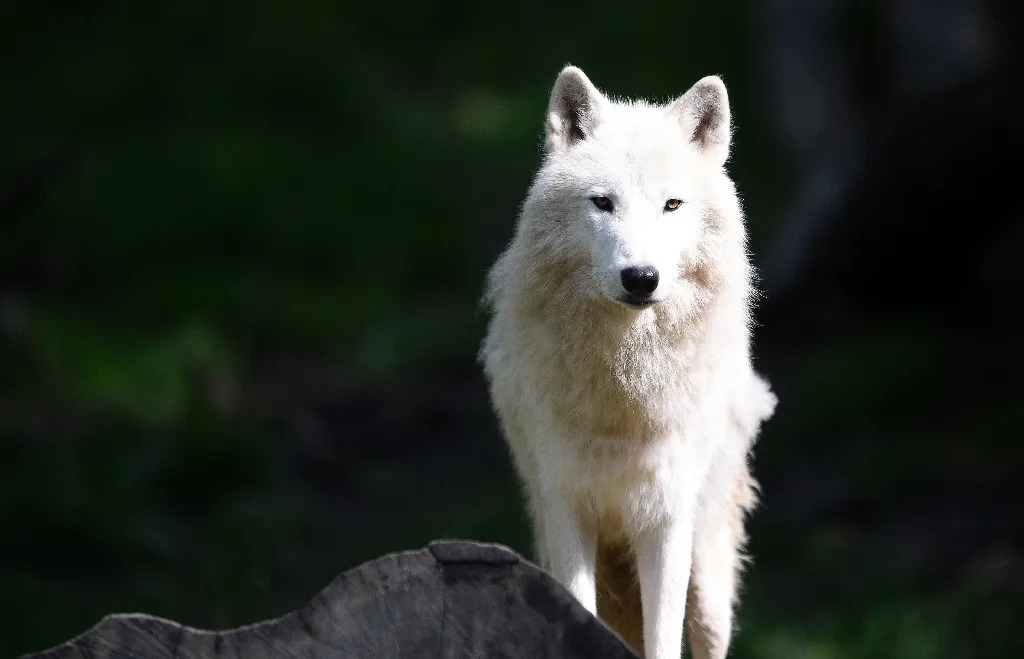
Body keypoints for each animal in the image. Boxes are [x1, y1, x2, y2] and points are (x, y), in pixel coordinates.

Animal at [479, 68, 774, 659]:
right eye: (602, 203)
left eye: (672, 205)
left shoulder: (665, 518)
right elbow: (576, 610)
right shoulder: (567, 508)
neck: (625, 384)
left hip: (707, 574)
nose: (641, 278)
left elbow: (663, 640)